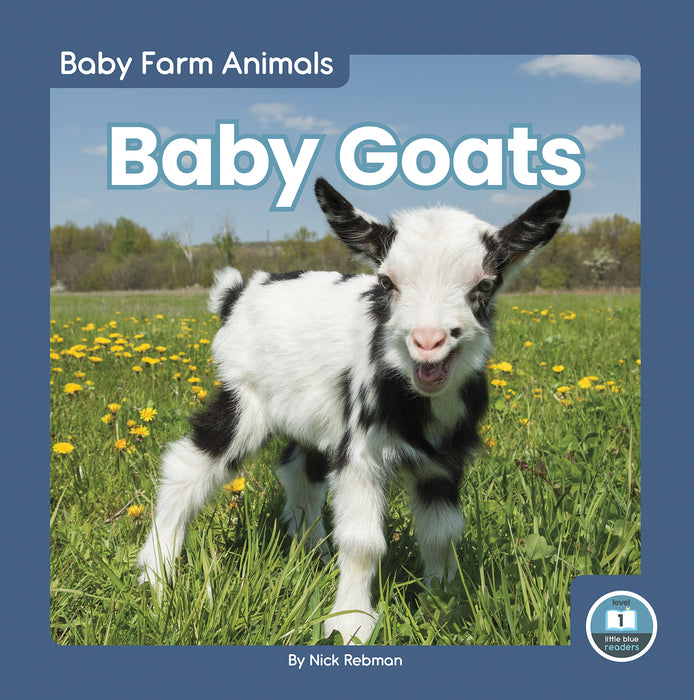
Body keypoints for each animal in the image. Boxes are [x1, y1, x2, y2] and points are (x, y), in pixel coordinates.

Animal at [137, 178, 570, 643]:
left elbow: (441, 534)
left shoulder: (444, 459)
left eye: (486, 285)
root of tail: (237, 295)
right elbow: (363, 542)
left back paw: (315, 556)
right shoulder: (363, 452)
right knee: (188, 464)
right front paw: (350, 625)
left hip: (312, 412)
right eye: (387, 281)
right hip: (245, 395)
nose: (428, 341)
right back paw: (156, 575)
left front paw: (444, 605)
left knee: (298, 472)